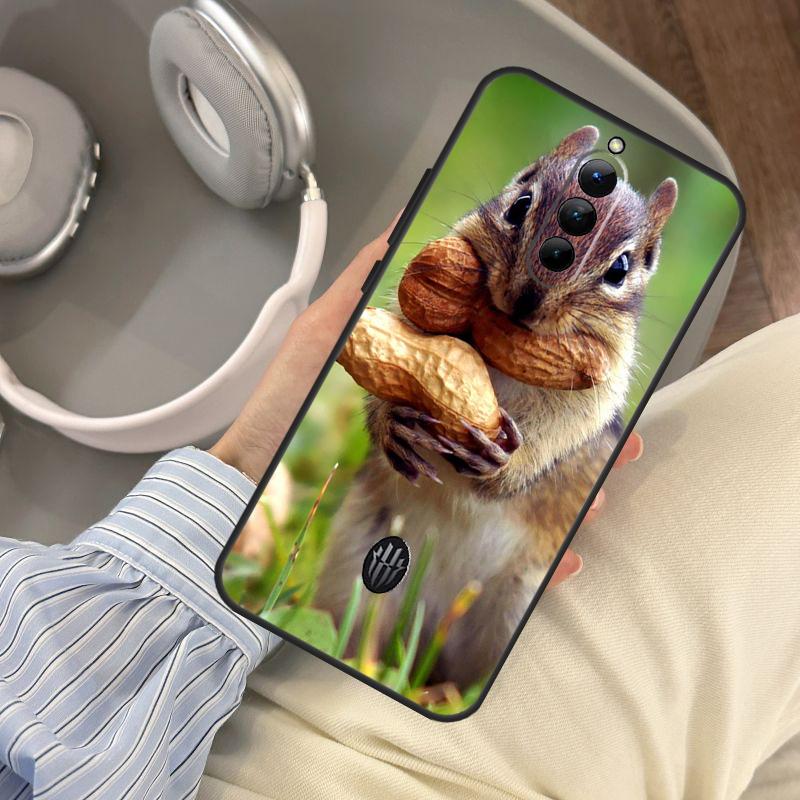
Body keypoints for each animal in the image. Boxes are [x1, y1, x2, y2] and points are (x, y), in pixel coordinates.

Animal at [314, 126, 678, 687]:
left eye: (619, 269)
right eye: (519, 205)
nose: (528, 299)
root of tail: (426, 629)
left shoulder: (600, 381)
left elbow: (567, 425)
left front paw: (506, 466)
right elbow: (395, 349)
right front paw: (392, 421)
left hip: (508, 609)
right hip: (352, 564)